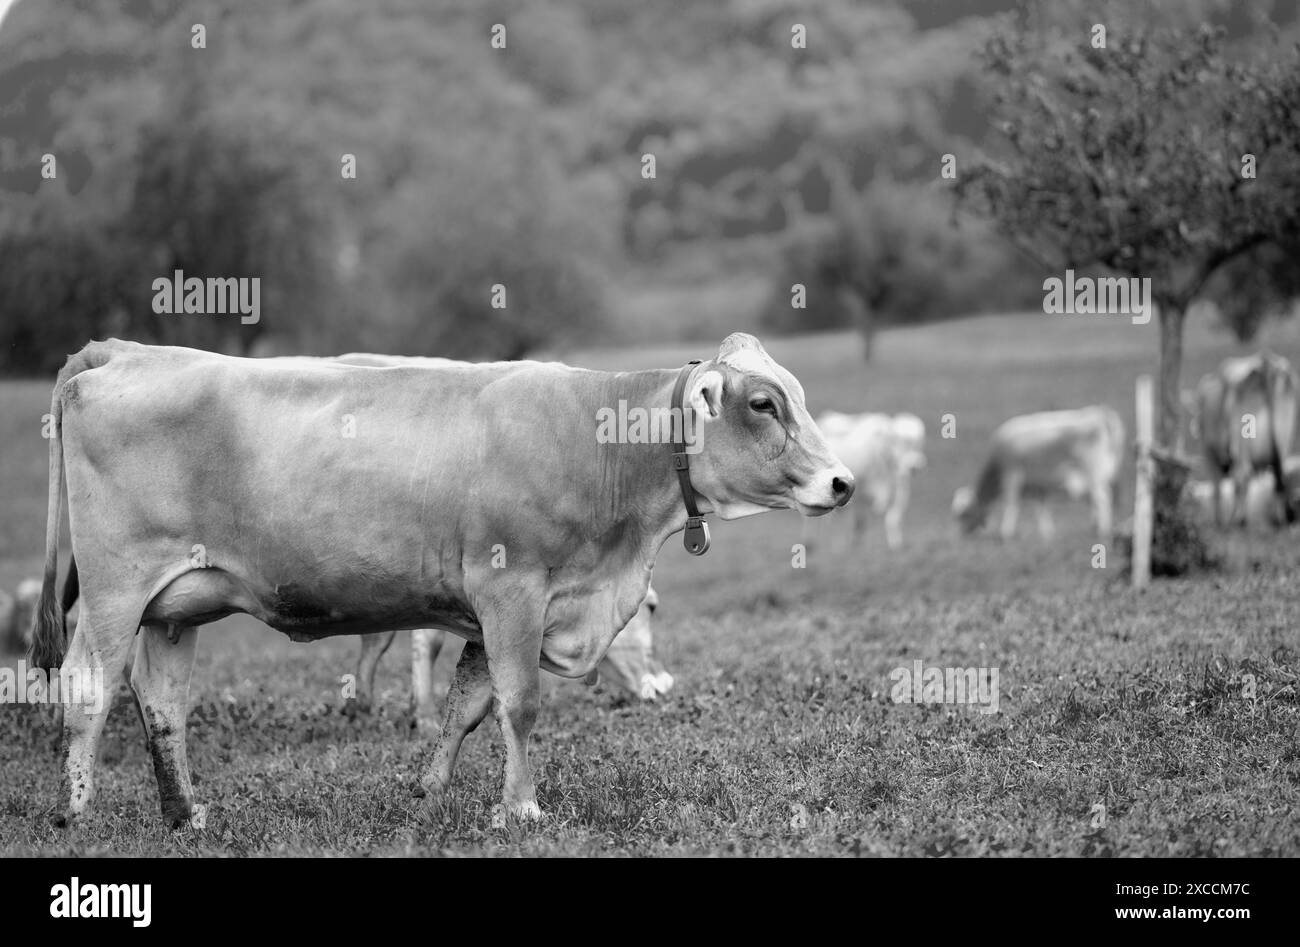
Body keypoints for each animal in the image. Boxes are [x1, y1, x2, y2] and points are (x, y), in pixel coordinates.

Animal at [811, 411, 925, 550]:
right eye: (897, 443)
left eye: (918, 443)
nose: (914, 467)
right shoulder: (860, 492)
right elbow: (860, 520)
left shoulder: (900, 488)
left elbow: (893, 516)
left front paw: (894, 543)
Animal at [952, 406, 1124, 541]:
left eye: (964, 514)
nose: (959, 536)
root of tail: (1101, 413)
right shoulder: (1040, 485)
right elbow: (1042, 508)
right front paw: (1046, 533)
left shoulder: (1012, 472)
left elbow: (1011, 503)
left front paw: (1006, 533)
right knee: (1096, 500)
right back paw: (1095, 528)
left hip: (1092, 471)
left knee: (1102, 498)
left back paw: (1103, 532)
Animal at [1192, 352, 1298, 527]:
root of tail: (1265, 363)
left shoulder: (1208, 452)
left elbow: (1217, 488)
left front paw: (1218, 521)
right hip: (1284, 441)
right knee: (1278, 478)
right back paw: (1279, 520)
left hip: (1242, 439)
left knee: (1242, 476)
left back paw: (1237, 521)